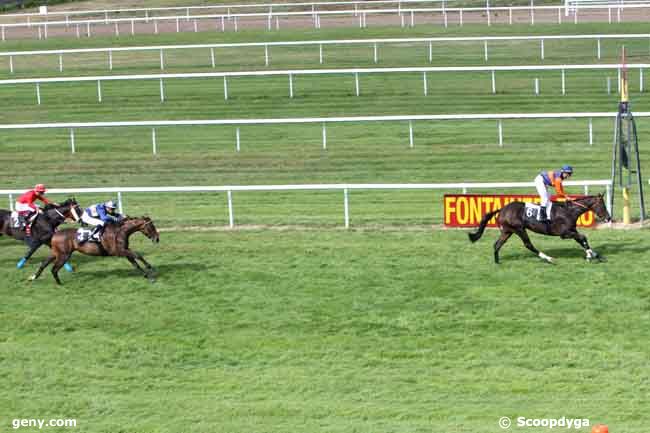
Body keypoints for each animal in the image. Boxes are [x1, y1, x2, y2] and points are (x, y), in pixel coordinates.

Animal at [31, 215, 160, 284]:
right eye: (151, 226)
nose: (157, 239)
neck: (120, 231)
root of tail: (55, 234)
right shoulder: (119, 251)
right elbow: (138, 255)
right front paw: (150, 268)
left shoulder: (125, 250)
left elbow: (136, 263)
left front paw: (148, 276)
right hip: (64, 255)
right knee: (54, 269)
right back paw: (59, 283)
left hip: (56, 253)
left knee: (44, 263)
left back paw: (34, 277)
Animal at [468, 195, 612, 264]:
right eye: (602, 205)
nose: (608, 217)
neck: (569, 211)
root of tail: (502, 209)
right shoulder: (564, 233)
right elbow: (582, 237)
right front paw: (591, 255)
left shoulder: (572, 230)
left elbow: (582, 240)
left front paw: (594, 255)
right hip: (519, 229)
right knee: (528, 245)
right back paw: (548, 259)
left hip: (507, 231)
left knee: (497, 244)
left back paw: (497, 262)